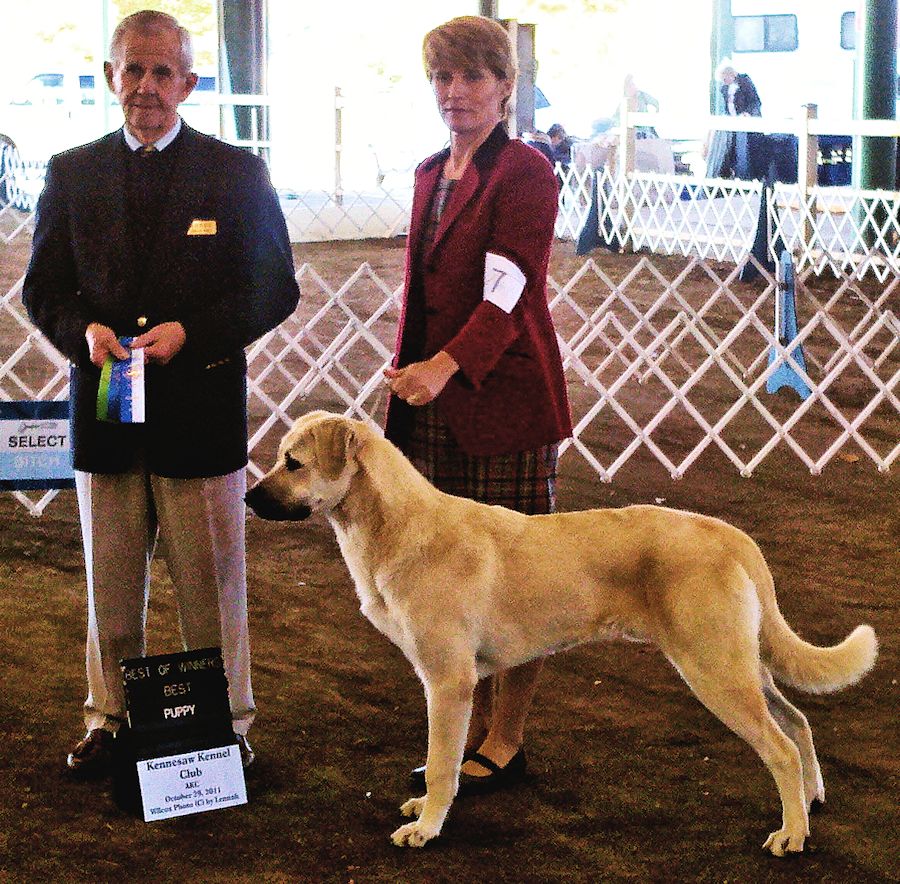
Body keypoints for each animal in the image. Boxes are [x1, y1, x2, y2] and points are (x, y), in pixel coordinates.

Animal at [243, 412, 876, 856]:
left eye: (293, 463)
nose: (248, 496)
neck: (397, 528)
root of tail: (727, 533)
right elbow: (447, 759)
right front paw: (426, 809)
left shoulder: (447, 681)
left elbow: (444, 761)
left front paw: (426, 827)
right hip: (745, 664)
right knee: (799, 723)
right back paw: (810, 802)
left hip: (715, 670)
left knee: (780, 747)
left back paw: (791, 835)